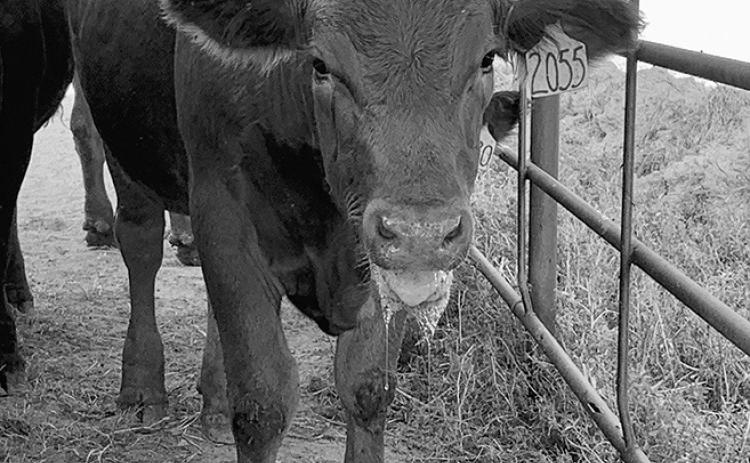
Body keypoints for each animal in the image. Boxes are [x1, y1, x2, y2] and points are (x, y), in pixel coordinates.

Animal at [70, 0, 639, 461]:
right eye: (320, 63)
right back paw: (142, 389)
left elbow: (367, 388)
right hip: (121, 144)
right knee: (140, 247)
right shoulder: (223, 217)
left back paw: (212, 397)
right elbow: (262, 403)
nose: (419, 232)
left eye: (485, 59)